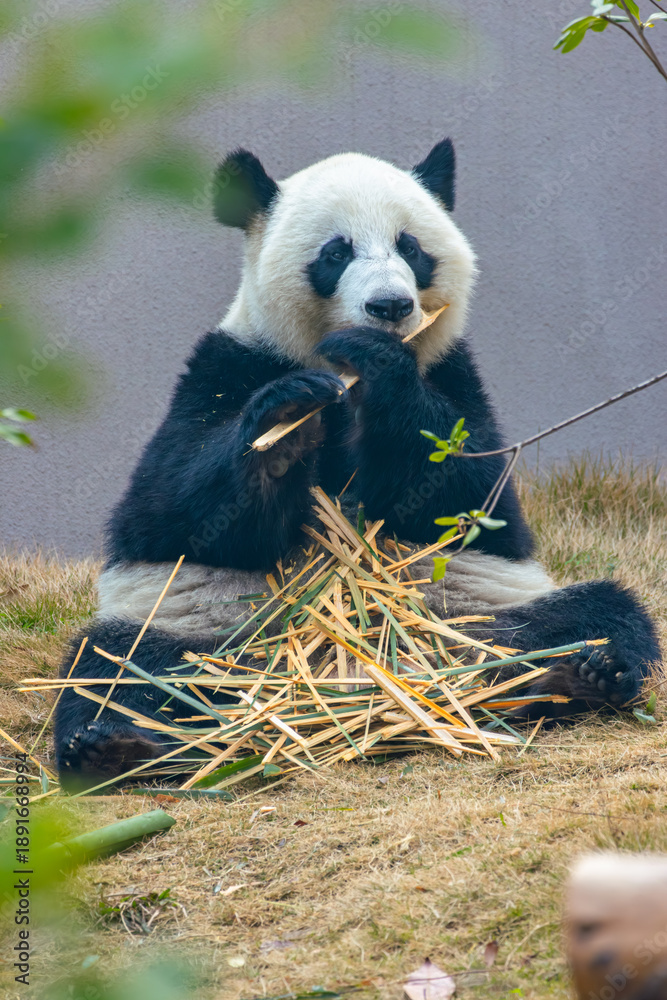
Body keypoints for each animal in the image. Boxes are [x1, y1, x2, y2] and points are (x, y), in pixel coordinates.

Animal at [55, 139, 660, 788]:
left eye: (410, 247)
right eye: (336, 252)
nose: (389, 306)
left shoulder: (453, 372)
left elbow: (468, 499)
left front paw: (380, 364)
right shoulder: (225, 366)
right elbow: (173, 510)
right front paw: (285, 426)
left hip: (476, 614)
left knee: (593, 617)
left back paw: (577, 677)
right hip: (205, 631)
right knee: (115, 667)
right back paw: (116, 745)